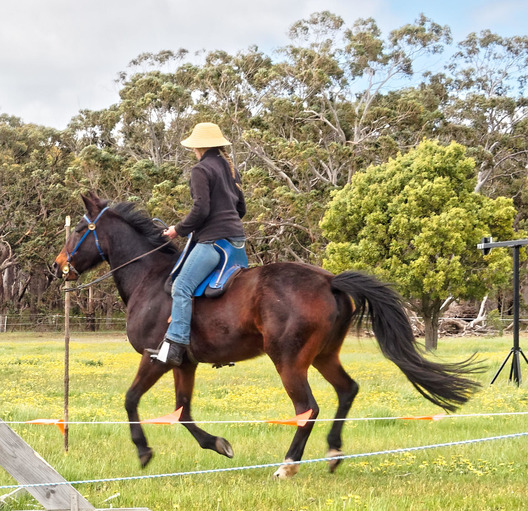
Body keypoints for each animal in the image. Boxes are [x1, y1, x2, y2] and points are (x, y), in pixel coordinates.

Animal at [54, 193, 482, 480]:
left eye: (76, 233)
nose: (58, 266)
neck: (149, 276)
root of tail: (330, 280)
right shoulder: (183, 363)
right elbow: (183, 413)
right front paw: (219, 444)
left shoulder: (153, 358)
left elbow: (131, 400)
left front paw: (143, 452)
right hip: (323, 356)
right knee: (347, 391)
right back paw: (333, 452)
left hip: (289, 361)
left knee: (308, 408)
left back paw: (288, 465)